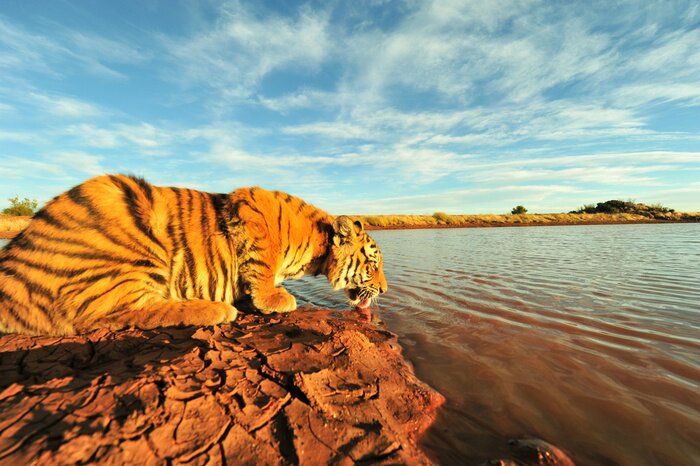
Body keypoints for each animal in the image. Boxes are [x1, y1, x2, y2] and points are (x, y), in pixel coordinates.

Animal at [0, 174, 387, 336]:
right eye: (373, 264)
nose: (384, 290)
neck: (316, 244)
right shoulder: (253, 212)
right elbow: (263, 267)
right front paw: (275, 299)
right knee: (107, 315)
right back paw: (215, 308)